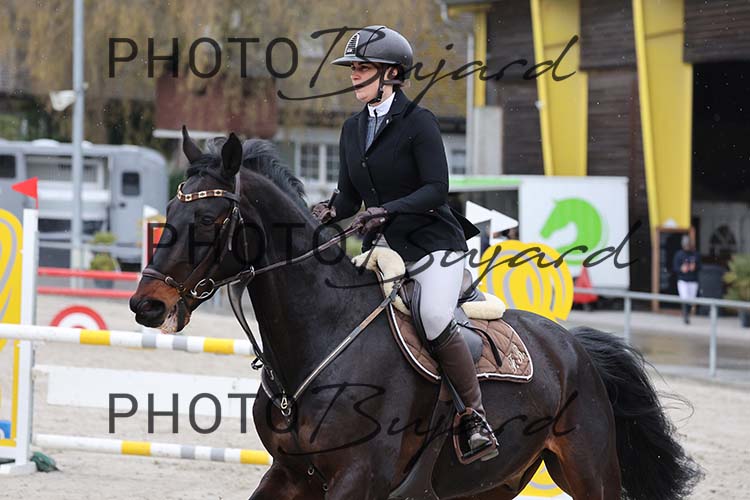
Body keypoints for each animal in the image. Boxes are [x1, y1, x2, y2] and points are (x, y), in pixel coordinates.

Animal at [130, 129, 701, 500]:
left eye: (209, 217)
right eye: (170, 210)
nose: (147, 304)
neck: (322, 337)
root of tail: (575, 345)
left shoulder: (358, 477)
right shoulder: (290, 474)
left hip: (589, 469)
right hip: (489, 485)